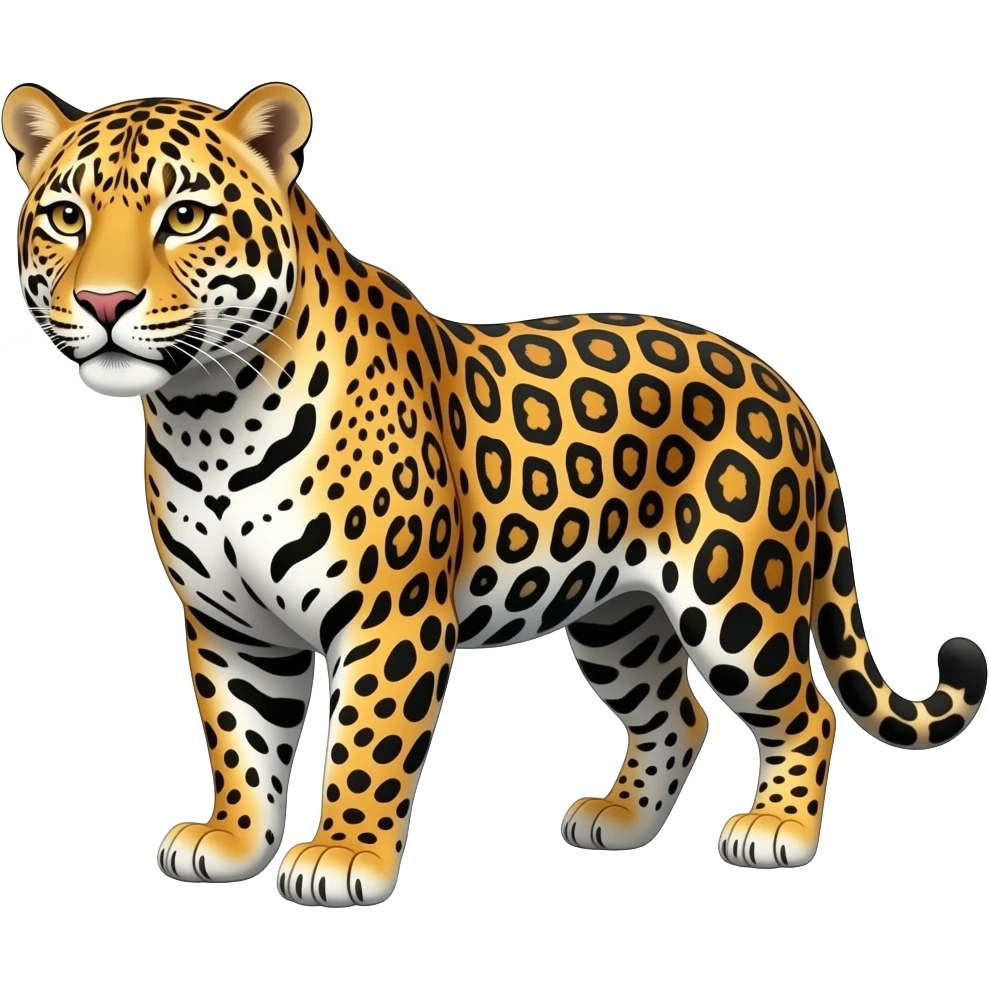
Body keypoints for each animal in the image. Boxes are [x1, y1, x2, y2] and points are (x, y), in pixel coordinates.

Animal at [4, 81, 986, 907]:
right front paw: (237, 840)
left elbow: (368, 739)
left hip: (735, 596)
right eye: (65, 216)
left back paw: (777, 827)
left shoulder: (390, 611)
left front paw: (342, 854)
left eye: (185, 216)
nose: (103, 301)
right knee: (674, 712)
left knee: (805, 709)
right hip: (618, 617)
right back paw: (618, 820)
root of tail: (783, 386)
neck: (206, 414)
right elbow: (242, 737)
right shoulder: (231, 624)